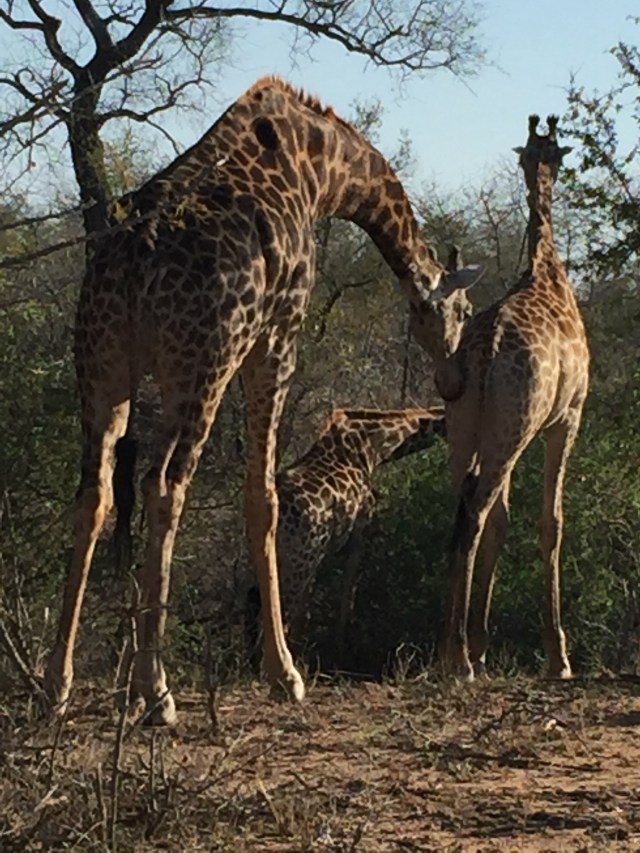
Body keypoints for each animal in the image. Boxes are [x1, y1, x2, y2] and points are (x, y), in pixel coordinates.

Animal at [244, 406, 446, 668]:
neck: (373, 447)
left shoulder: (320, 553)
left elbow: (306, 609)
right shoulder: (359, 530)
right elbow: (347, 592)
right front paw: (338, 649)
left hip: (270, 556)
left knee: (253, 601)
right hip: (299, 559)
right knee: (278, 611)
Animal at [410, 114, 589, 680]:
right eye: (554, 151)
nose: (547, 157)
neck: (546, 268)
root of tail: (486, 349)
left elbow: (504, 522)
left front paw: (484, 643)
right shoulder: (566, 418)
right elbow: (551, 522)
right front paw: (558, 656)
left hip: (467, 426)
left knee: (466, 512)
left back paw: (454, 650)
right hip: (515, 426)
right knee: (473, 513)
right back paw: (457, 658)